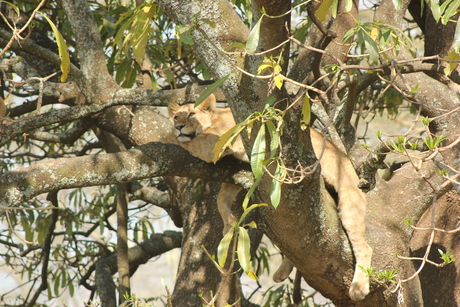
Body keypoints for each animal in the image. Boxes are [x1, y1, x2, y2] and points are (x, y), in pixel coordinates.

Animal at [167, 94, 372, 300]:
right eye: (176, 116)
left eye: (191, 114)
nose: (178, 126)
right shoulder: (236, 170)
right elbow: (220, 199)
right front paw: (229, 226)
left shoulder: (219, 144)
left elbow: (191, 142)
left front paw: (173, 137)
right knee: (295, 245)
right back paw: (282, 272)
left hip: (349, 199)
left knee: (364, 247)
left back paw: (358, 288)